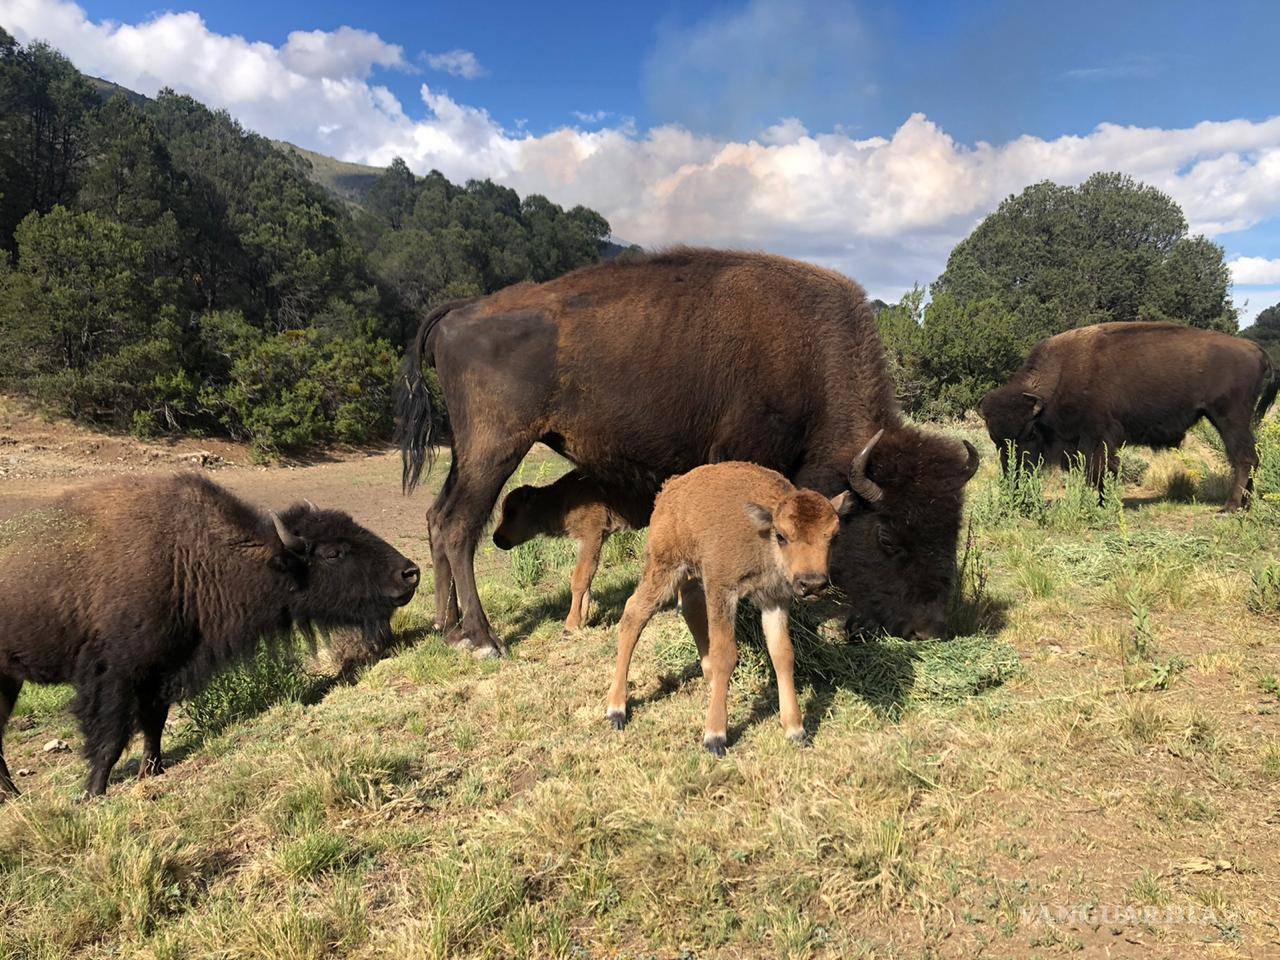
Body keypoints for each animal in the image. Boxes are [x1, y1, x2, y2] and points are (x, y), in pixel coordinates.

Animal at [0, 473, 419, 798]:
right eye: (334, 552)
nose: (410, 573)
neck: (187, 557)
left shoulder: (163, 670)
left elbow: (154, 722)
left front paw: (152, 770)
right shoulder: (115, 674)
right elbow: (109, 736)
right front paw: (93, 792)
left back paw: (12, 795)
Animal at [488, 471, 650, 634]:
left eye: (512, 512)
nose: (497, 538)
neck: (562, 500)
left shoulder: (592, 535)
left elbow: (580, 579)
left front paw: (570, 625)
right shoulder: (587, 541)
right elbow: (587, 576)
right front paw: (582, 621)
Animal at [601, 463, 849, 757]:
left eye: (834, 536)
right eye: (781, 536)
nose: (812, 583)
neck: (761, 532)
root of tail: (670, 489)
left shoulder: (774, 600)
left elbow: (783, 654)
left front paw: (796, 730)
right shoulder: (722, 591)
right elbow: (726, 654)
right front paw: (715, 736)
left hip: (691, 574)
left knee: (690, 606)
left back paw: (708, 680)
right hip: (665, 569)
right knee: (634, 613)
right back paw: (617, 709)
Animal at [972, 321, 1274, 512]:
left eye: (1029, 433)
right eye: (995, 439)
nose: (1014, 475)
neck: (1059, 376)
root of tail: (1256, 349)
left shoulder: (1097, 436)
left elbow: (1099, 470)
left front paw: (1103, 503)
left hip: (1230, 418)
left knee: (1244, 458)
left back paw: (1229, 507)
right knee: (1250, 457)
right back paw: (1245, 505)